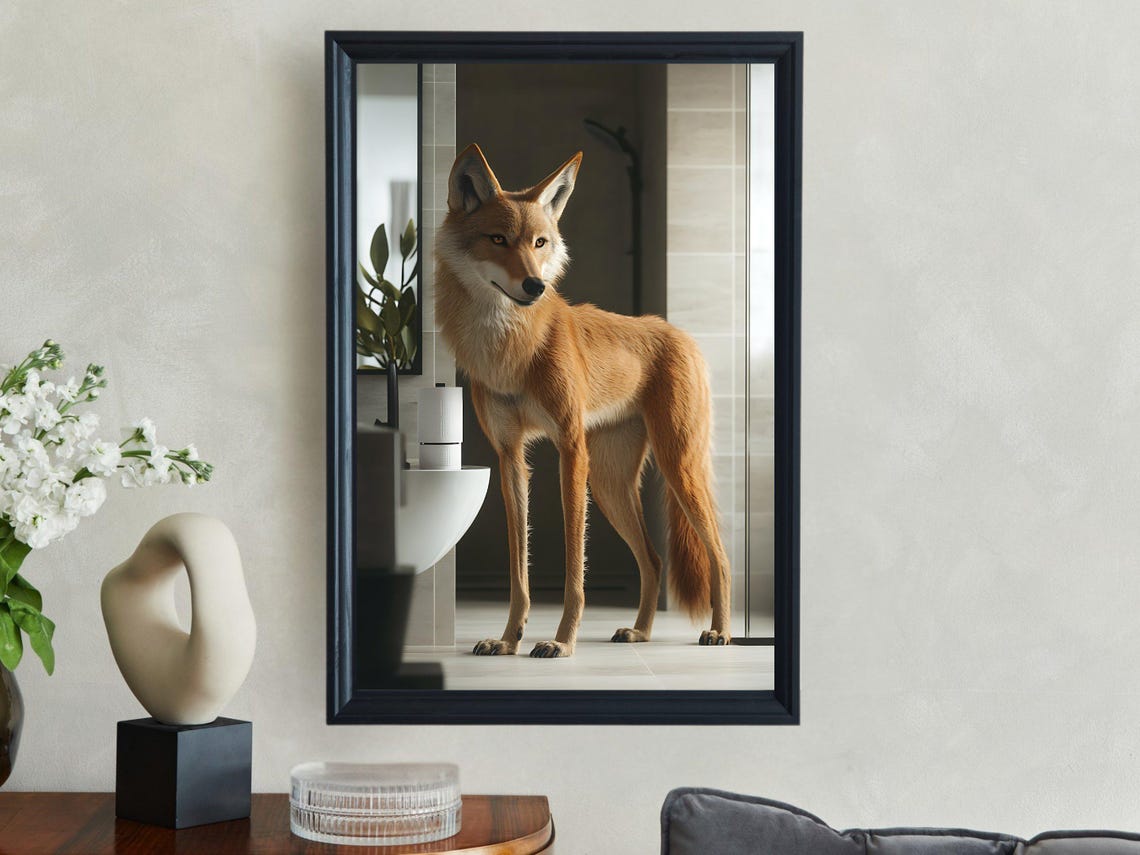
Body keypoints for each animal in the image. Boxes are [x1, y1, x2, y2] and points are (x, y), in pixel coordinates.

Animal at [435, 143, 731, 658]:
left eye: (539, 243)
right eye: (498, 239)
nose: (534, 286)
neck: (512, 350)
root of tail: (681, 335)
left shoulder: (570, 449)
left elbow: (575, 566)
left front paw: (562, 642)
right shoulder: (511, 457)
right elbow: (519, 571)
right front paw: (509, 640)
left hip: (676, 468)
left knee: (720, 556)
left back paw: (721, 632)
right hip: (612, 486)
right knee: (653, 560)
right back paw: (640, 632)